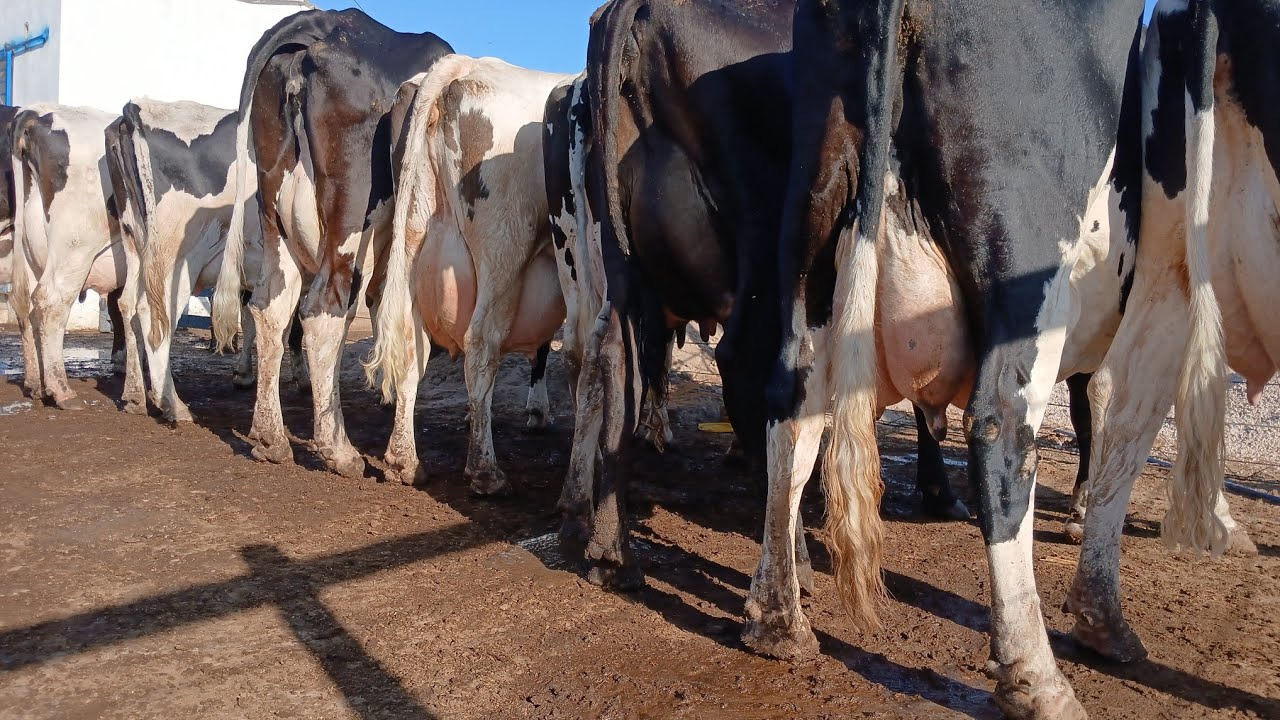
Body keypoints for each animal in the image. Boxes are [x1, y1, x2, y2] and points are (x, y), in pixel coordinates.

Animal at [9, 104, 129, 409]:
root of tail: (35, 115)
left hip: (30, 252)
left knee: (25, 304)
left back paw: (36, 385)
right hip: (74, 248)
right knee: (51, 303)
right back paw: (61, 391)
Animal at [103, 99, 270, 422]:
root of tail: (135, 110)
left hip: (136, 244)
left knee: (127, 304)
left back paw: (134, 395)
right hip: (176, 257)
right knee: (152, 312)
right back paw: (172, 403)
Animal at [211, 9, 453, 478]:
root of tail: (322, 22)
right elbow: (408, 335)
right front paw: (404, 458)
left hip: (275, 217)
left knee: (271, 307)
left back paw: (270, 437)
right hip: (350, 215)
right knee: (324, 309)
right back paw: (337, 448)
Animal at [366, 55, 571, 491]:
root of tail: (463, 67)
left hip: (412, 239)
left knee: (409, 342)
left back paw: (404, 460)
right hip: (504, 247)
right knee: (481, 342)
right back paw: (485, 470)